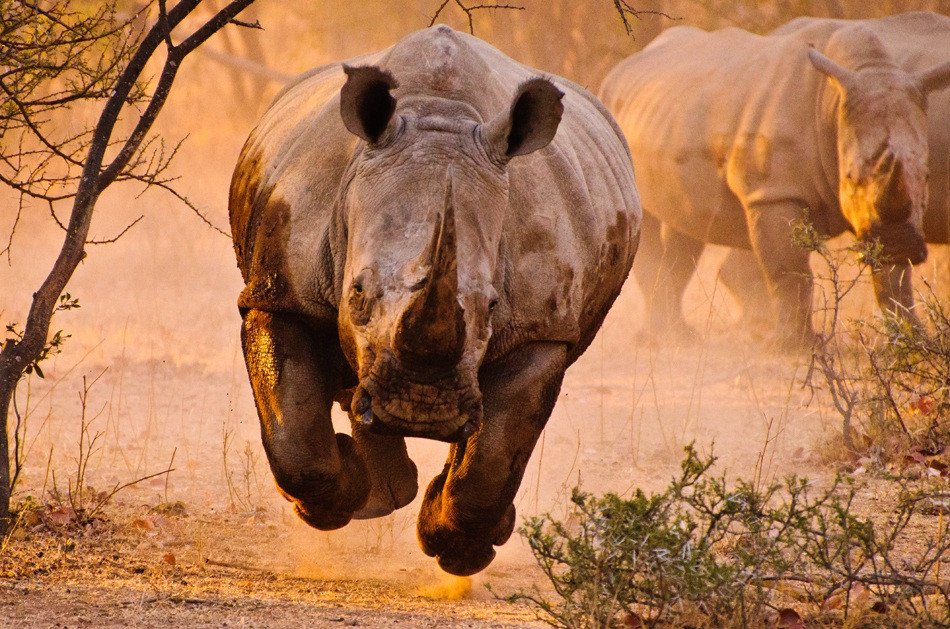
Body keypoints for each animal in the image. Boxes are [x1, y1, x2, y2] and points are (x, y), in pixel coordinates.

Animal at [228, 25, 644, 576]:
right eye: (356, 293)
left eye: (492, 306)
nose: (419, 409)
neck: (438, 116)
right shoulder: (279, 291)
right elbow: (295, 439)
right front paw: (337, 499)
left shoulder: (541, 329)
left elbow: (492, 460)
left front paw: (458, 549)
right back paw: (381, 493)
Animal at [604, 9, 950, 346]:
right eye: (850, 176)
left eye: (926, 176)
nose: (900, 243)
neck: (833, 104)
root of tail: (621, 68)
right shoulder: (774, 192)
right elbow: (789, 271)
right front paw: (797, 347)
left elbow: (893, 278)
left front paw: (913, 343)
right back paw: (664, 341)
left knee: (686, 223)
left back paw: (678, 336)